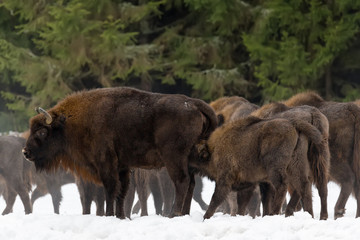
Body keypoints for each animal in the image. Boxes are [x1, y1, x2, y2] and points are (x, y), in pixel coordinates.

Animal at [22, 87, 217, 218]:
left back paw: (173, 214)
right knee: (191, 184)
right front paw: (121, 216)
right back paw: (184, 213)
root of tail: (193, 103)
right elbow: (122, 191)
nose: (25, 151)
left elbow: (110, 188)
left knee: (182, 182)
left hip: (174, 158)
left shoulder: (106, 163)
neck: (70, 123)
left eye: (42, 131)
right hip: (188, 159)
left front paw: (109, 215)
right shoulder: (123, 167)